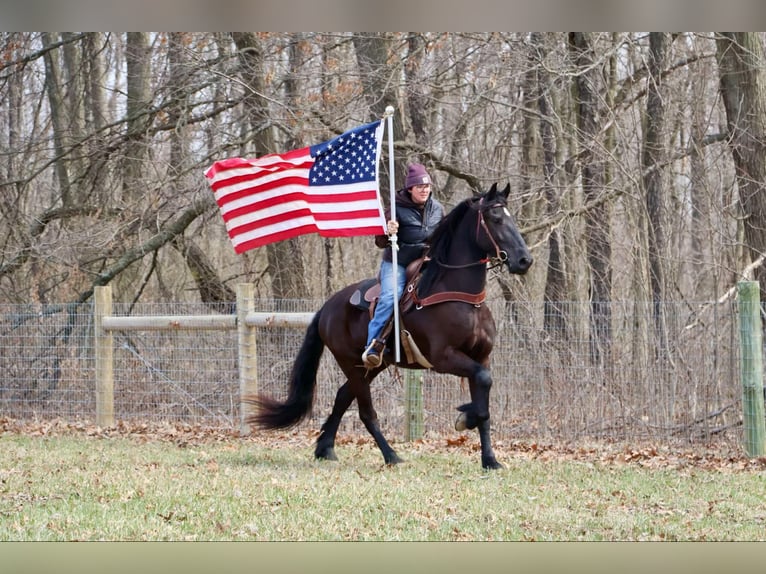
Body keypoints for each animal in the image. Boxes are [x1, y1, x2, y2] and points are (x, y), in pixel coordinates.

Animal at [244, 182, 533, 469]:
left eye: (511, 218)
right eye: (495, 218)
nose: (524, 261)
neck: (462, 298)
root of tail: (326, 308)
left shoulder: (481, 357)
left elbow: (484, 403)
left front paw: (490, 459)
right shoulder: (444, 358)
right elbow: (482, 390)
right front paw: (465, 418)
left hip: (370, 367)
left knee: (342, 396)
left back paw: (325, 448)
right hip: (351, 363)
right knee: (365, 412)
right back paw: (391, 455)